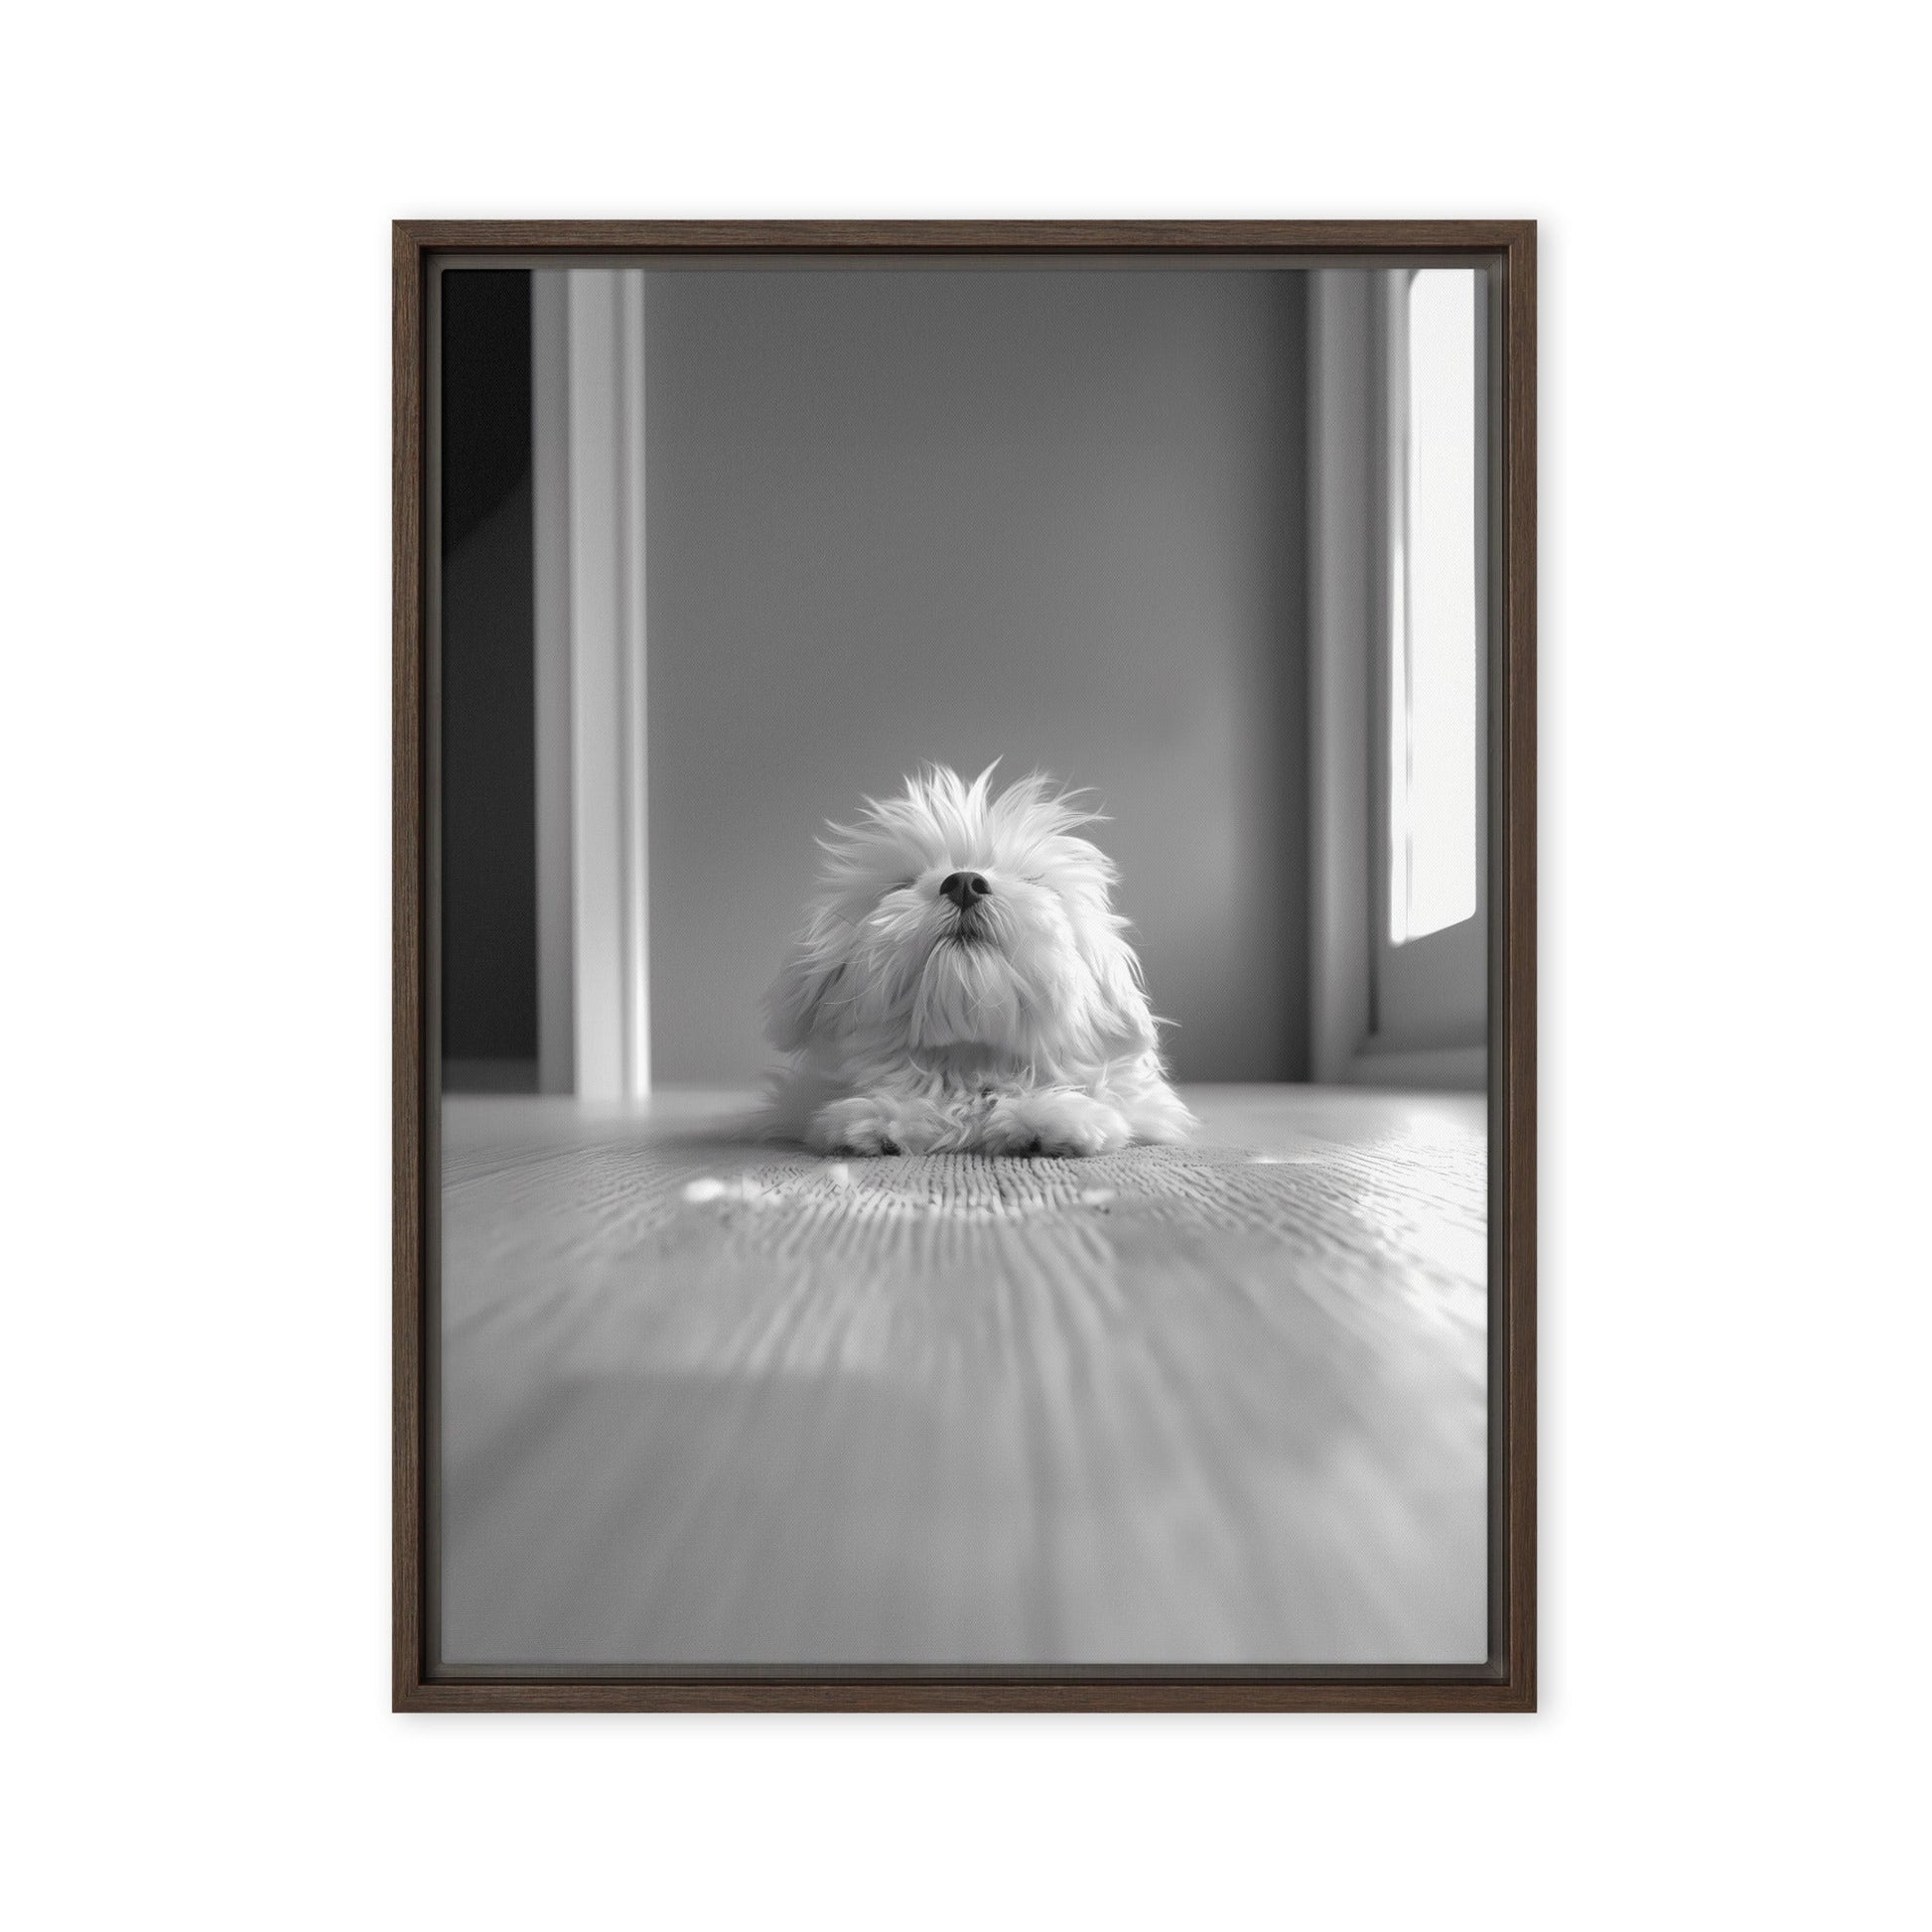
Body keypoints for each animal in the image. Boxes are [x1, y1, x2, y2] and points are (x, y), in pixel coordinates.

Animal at [757, 760, 1189, 1151]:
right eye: (903, 883)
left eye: (1033, 881)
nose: (964, 882)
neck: (970, 1062)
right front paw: (880, 1117)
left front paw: (1053, 1118)